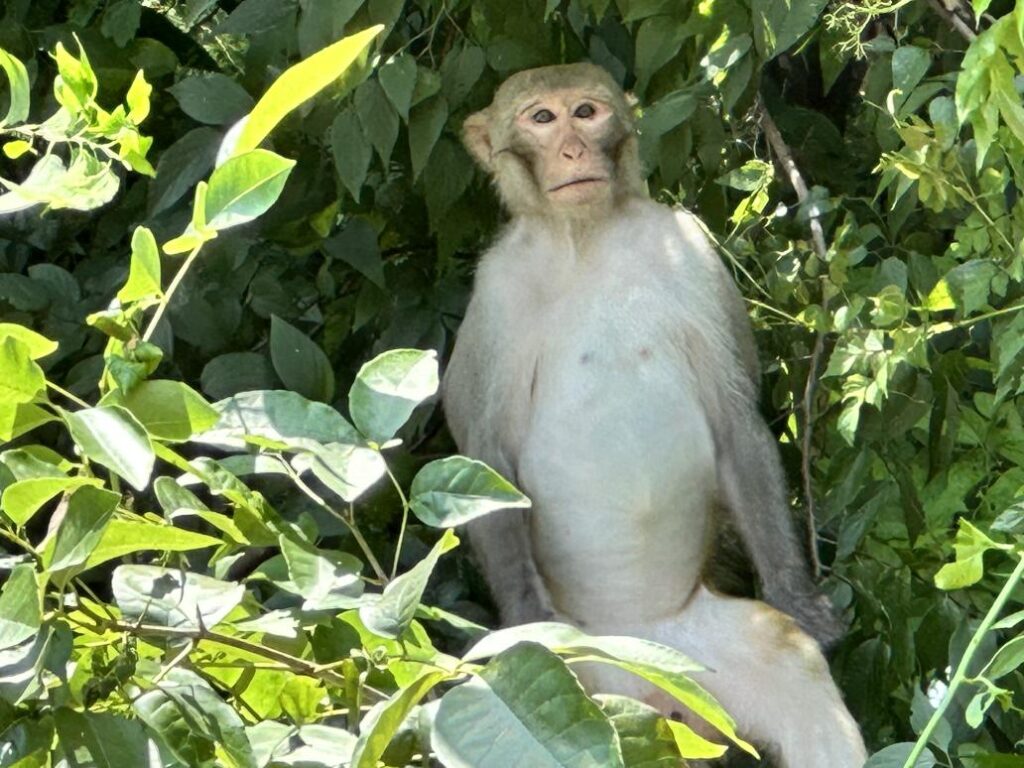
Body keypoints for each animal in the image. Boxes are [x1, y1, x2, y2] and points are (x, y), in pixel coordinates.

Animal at [444, 63, 868, 765]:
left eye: (585, 112)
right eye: (541, 119)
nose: (572, 151)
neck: (585, 238)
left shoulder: (688, 248)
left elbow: (732, 414)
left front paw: (799, 599)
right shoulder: (496, 292)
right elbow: (484, 460)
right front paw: (525, 617)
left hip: (698, 660)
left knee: (792, 666)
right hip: (575, 677)